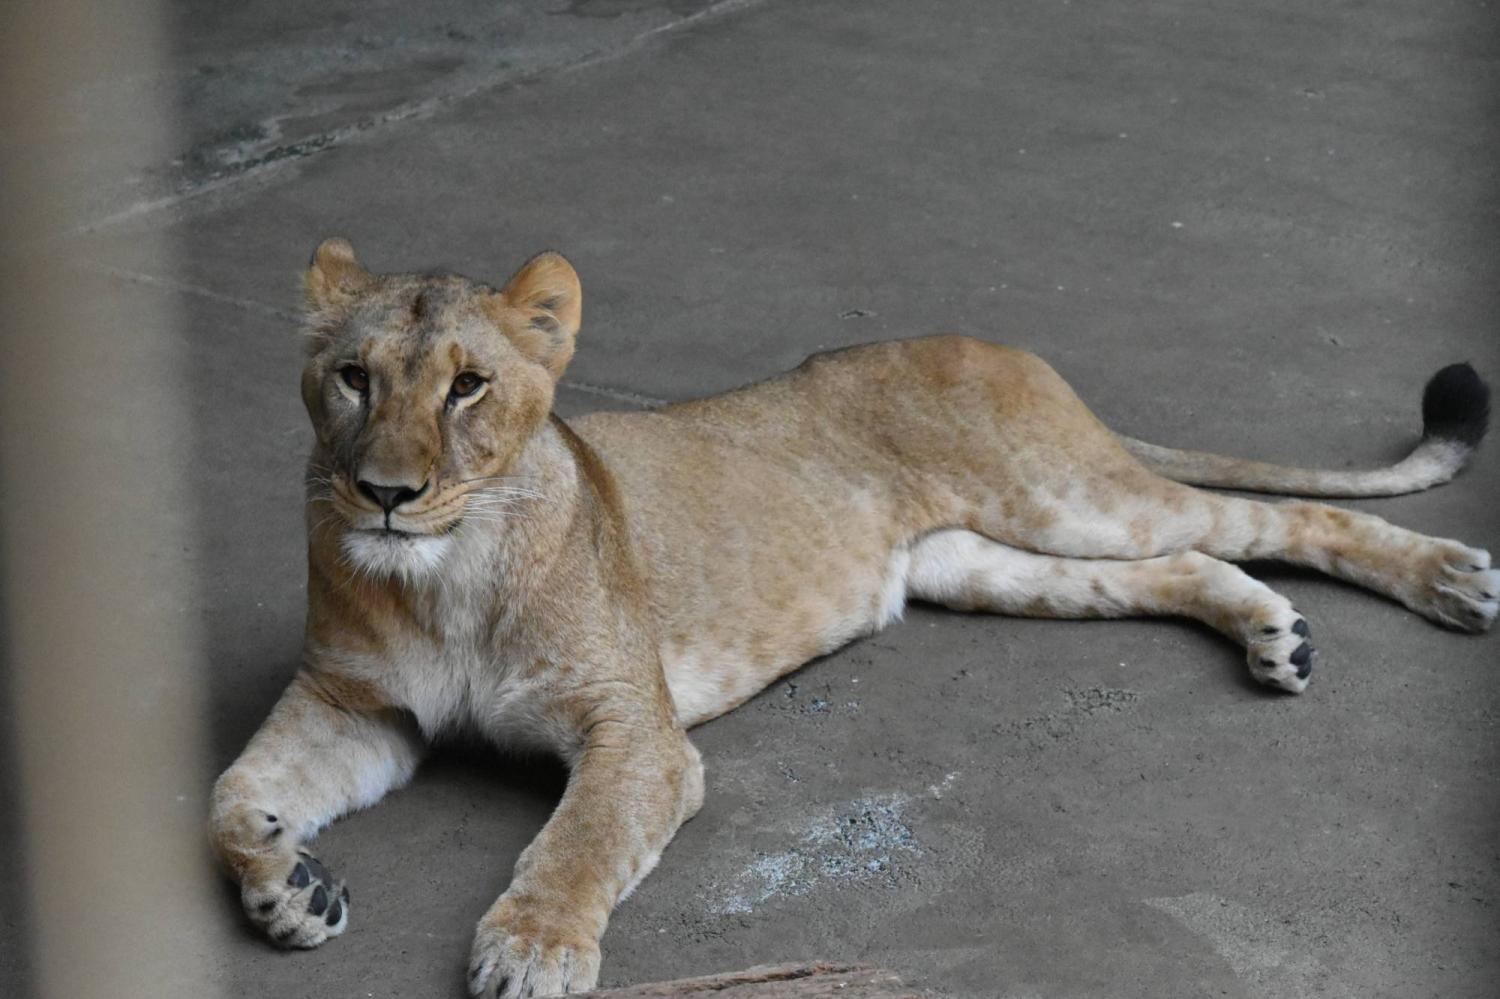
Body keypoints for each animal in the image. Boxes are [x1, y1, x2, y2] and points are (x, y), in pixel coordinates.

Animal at [210, 238, 1496, 997]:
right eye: (355, 378)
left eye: (468, 386)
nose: (384, 492)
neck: (446, 574)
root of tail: (994, 341)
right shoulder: (360, 707)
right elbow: (229, 799)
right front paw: (292, 889)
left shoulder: (636, 730)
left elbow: (578, 841)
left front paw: (533, 951)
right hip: (987, 562)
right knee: (1189, 561)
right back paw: (1277, 634)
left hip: (1071, 499)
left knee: (1271, 513)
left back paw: (1450, 582)